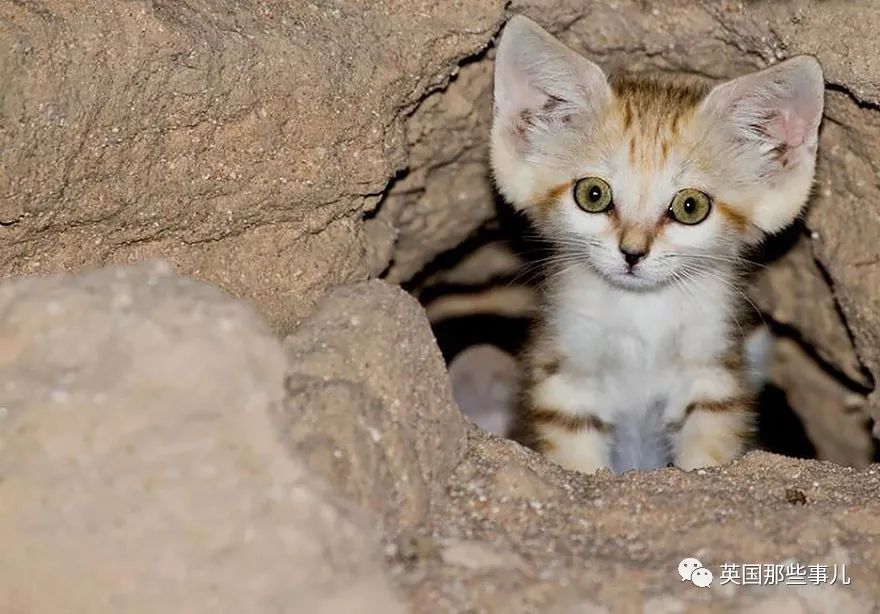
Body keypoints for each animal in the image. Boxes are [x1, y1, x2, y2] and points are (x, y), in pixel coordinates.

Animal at [488, 16, 824, 474]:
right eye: (593, 194)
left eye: (690, 206)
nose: (632, 252)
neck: (641, 313)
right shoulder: (565, 381)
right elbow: (577, 457)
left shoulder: (713, 377)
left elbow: (706, 450)